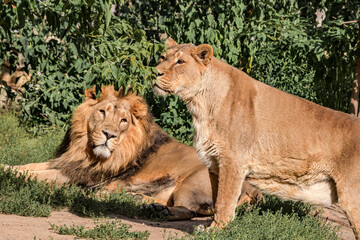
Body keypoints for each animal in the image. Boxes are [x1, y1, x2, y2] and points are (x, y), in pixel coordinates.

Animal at [9, 85, 260, 220]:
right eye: (102, 112)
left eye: (123, 121)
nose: (109, 135)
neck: (84, 149)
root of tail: (252, 188)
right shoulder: (66, 163)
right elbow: (28, 167)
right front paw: (8, 167)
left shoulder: (76, 175)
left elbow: (34, 175)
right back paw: (143, 202)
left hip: (192, 183)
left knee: (188, 211)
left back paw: (158, 212)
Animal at [154, 38, 360, 237]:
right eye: (162, 57)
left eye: (180, 62)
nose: (154, 72)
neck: (200, 104)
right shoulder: (214, 165)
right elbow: (216, 198)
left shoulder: (232, 162)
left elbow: (223, 201)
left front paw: (215, 231)